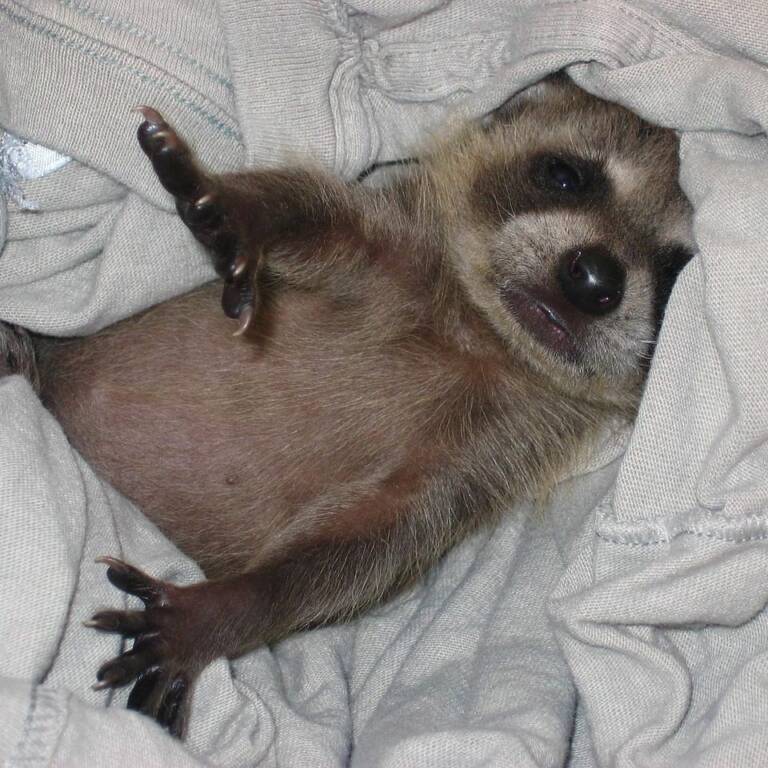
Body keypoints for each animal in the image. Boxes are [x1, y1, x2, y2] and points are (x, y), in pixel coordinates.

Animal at [21, 73, 692, 736]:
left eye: (677, 272)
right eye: (564, 174)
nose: (594, 278)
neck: (484, 333)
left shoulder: (498, 445)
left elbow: (371, 543)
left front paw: (227, 609)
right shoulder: (399, 244)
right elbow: (318, 213)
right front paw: (245, 209)